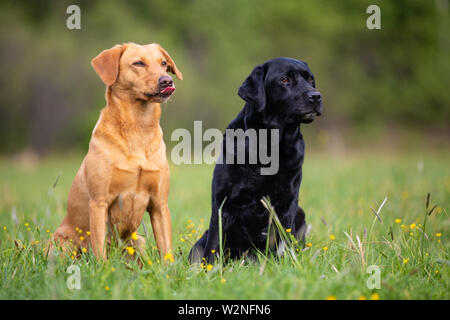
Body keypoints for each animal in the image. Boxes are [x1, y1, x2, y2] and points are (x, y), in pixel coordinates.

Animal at [51, 42, 181, 260]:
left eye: (163, 63)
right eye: (138, 63)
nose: (167, 80)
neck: (138, 126)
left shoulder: (159, 204)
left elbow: (166, 250)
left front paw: (169, 268)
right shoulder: (99, 202)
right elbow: (99, 249)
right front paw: (102, 267)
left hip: (138, 242)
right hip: (62, 244)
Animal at [188, 57, 322, 262]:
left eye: (310, 79)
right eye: (284, 79)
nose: (316, 96)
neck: (270, 145)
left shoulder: (287, 204)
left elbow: (283, 241)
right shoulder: (222, 203)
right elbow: (214, 244)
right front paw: (210, 267)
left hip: (300, 212)